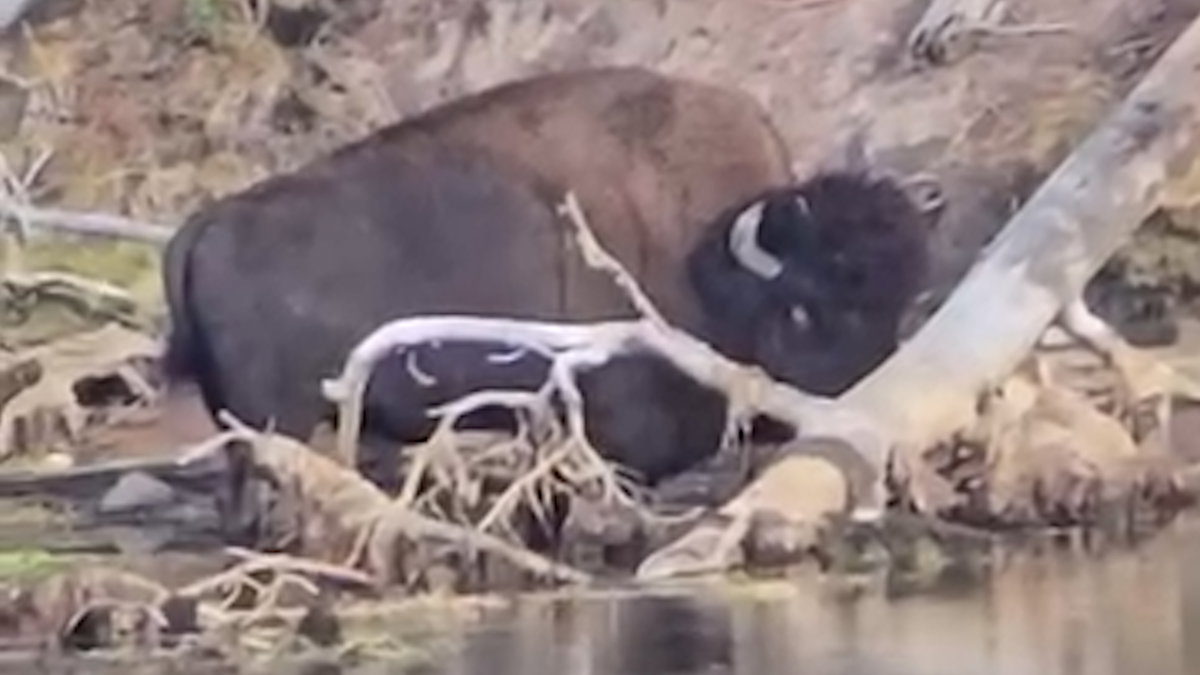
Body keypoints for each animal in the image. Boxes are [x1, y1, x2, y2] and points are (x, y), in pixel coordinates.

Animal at [161, 67, 930, 491]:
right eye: (802, 310)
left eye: (898, 304)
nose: (865, 403)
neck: (702, 258)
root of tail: (206, 224)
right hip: (276, 422)